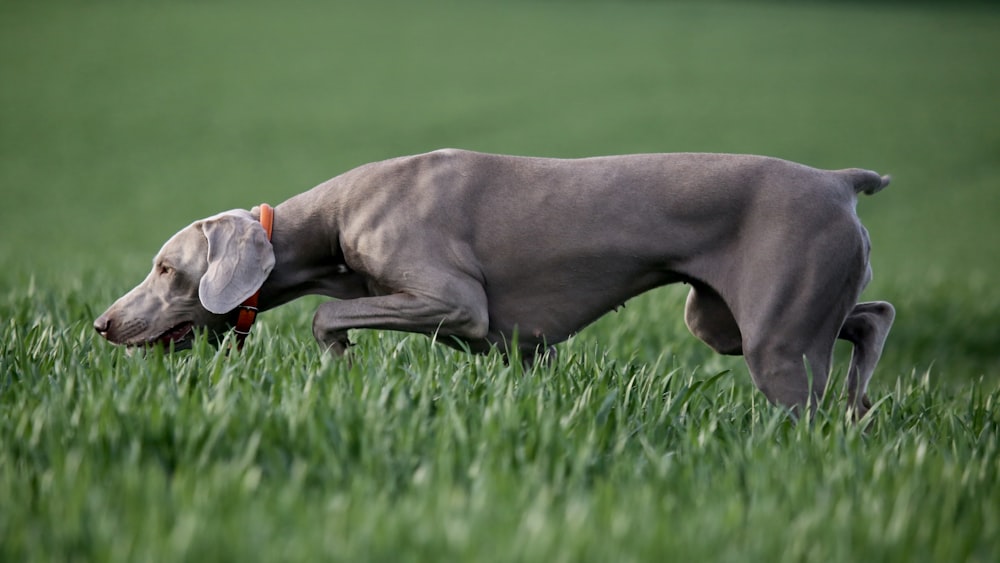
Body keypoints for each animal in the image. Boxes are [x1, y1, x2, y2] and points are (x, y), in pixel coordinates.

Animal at [94, 150, 896, 414]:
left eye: (165, 267)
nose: (102, 323)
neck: (331, 223)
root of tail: (838, 181)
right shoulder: (511, 344)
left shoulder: (454, 302)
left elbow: (327, 317)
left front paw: (339, 361)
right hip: (725, 319)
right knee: (872, 314)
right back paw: (863, 401)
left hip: (772, 341)